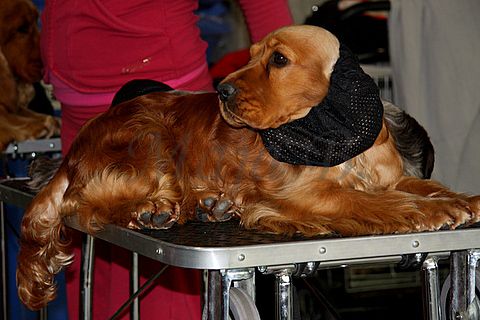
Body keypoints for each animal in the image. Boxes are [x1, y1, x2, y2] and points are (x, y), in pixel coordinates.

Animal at [16, 25, 478, 310]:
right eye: (253, 55)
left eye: (279, 60)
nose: (223, 90)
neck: (330, 130)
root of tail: (74, 151)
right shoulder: (306, 194)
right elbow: (377, 203)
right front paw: (436, 212)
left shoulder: (392, 177)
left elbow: (424, 187)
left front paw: (463, 200)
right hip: (148, 138)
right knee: (83, 204)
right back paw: (154, 211)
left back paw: (211, 206)